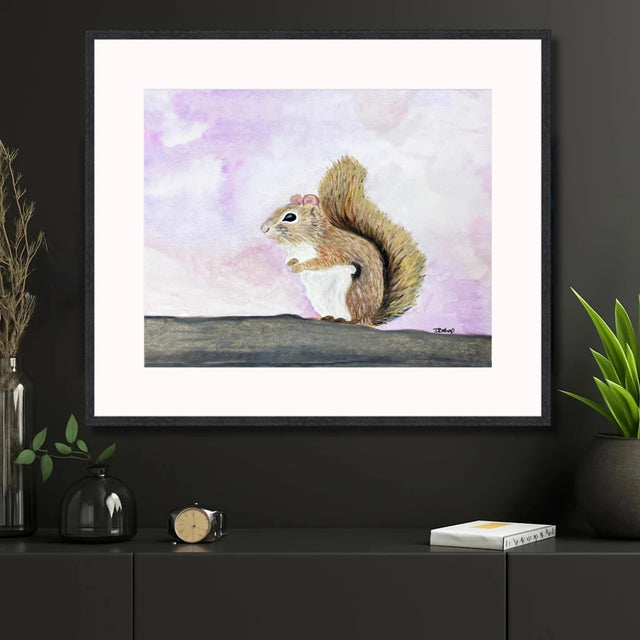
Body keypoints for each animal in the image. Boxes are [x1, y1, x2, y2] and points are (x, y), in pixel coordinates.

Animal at [260, 156, 426, 327]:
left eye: (290, 217)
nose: (263, 228)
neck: (301, 244)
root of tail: (371, 318)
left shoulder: (335, 250)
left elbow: (324, 261)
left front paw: (300, 266)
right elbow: (292, 259)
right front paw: (291, 263)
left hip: (352, 295)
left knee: (356, 319)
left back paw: (346, 320)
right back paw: (327, 318)